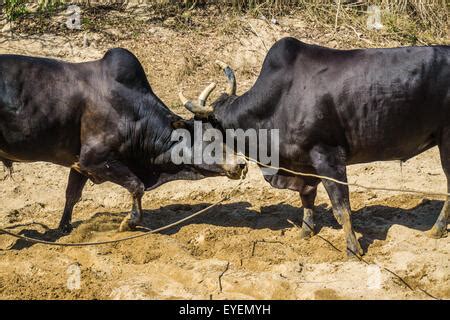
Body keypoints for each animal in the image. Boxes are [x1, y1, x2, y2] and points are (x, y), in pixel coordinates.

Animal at [0, 47, 246, 232]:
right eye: (209, 138)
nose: (242, 164)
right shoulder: (94, 159)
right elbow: (137, 186)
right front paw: (129, 222)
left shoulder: (79, 165)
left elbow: (72, 195)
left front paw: (64, 229)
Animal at [181, 37, 448, 258]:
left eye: (206, 130)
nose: (238, 167)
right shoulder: (303, 164)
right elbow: (307, 197)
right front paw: (305, 232)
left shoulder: (328, 157)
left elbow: (341, 208)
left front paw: (353, 250)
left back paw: (436, 230)